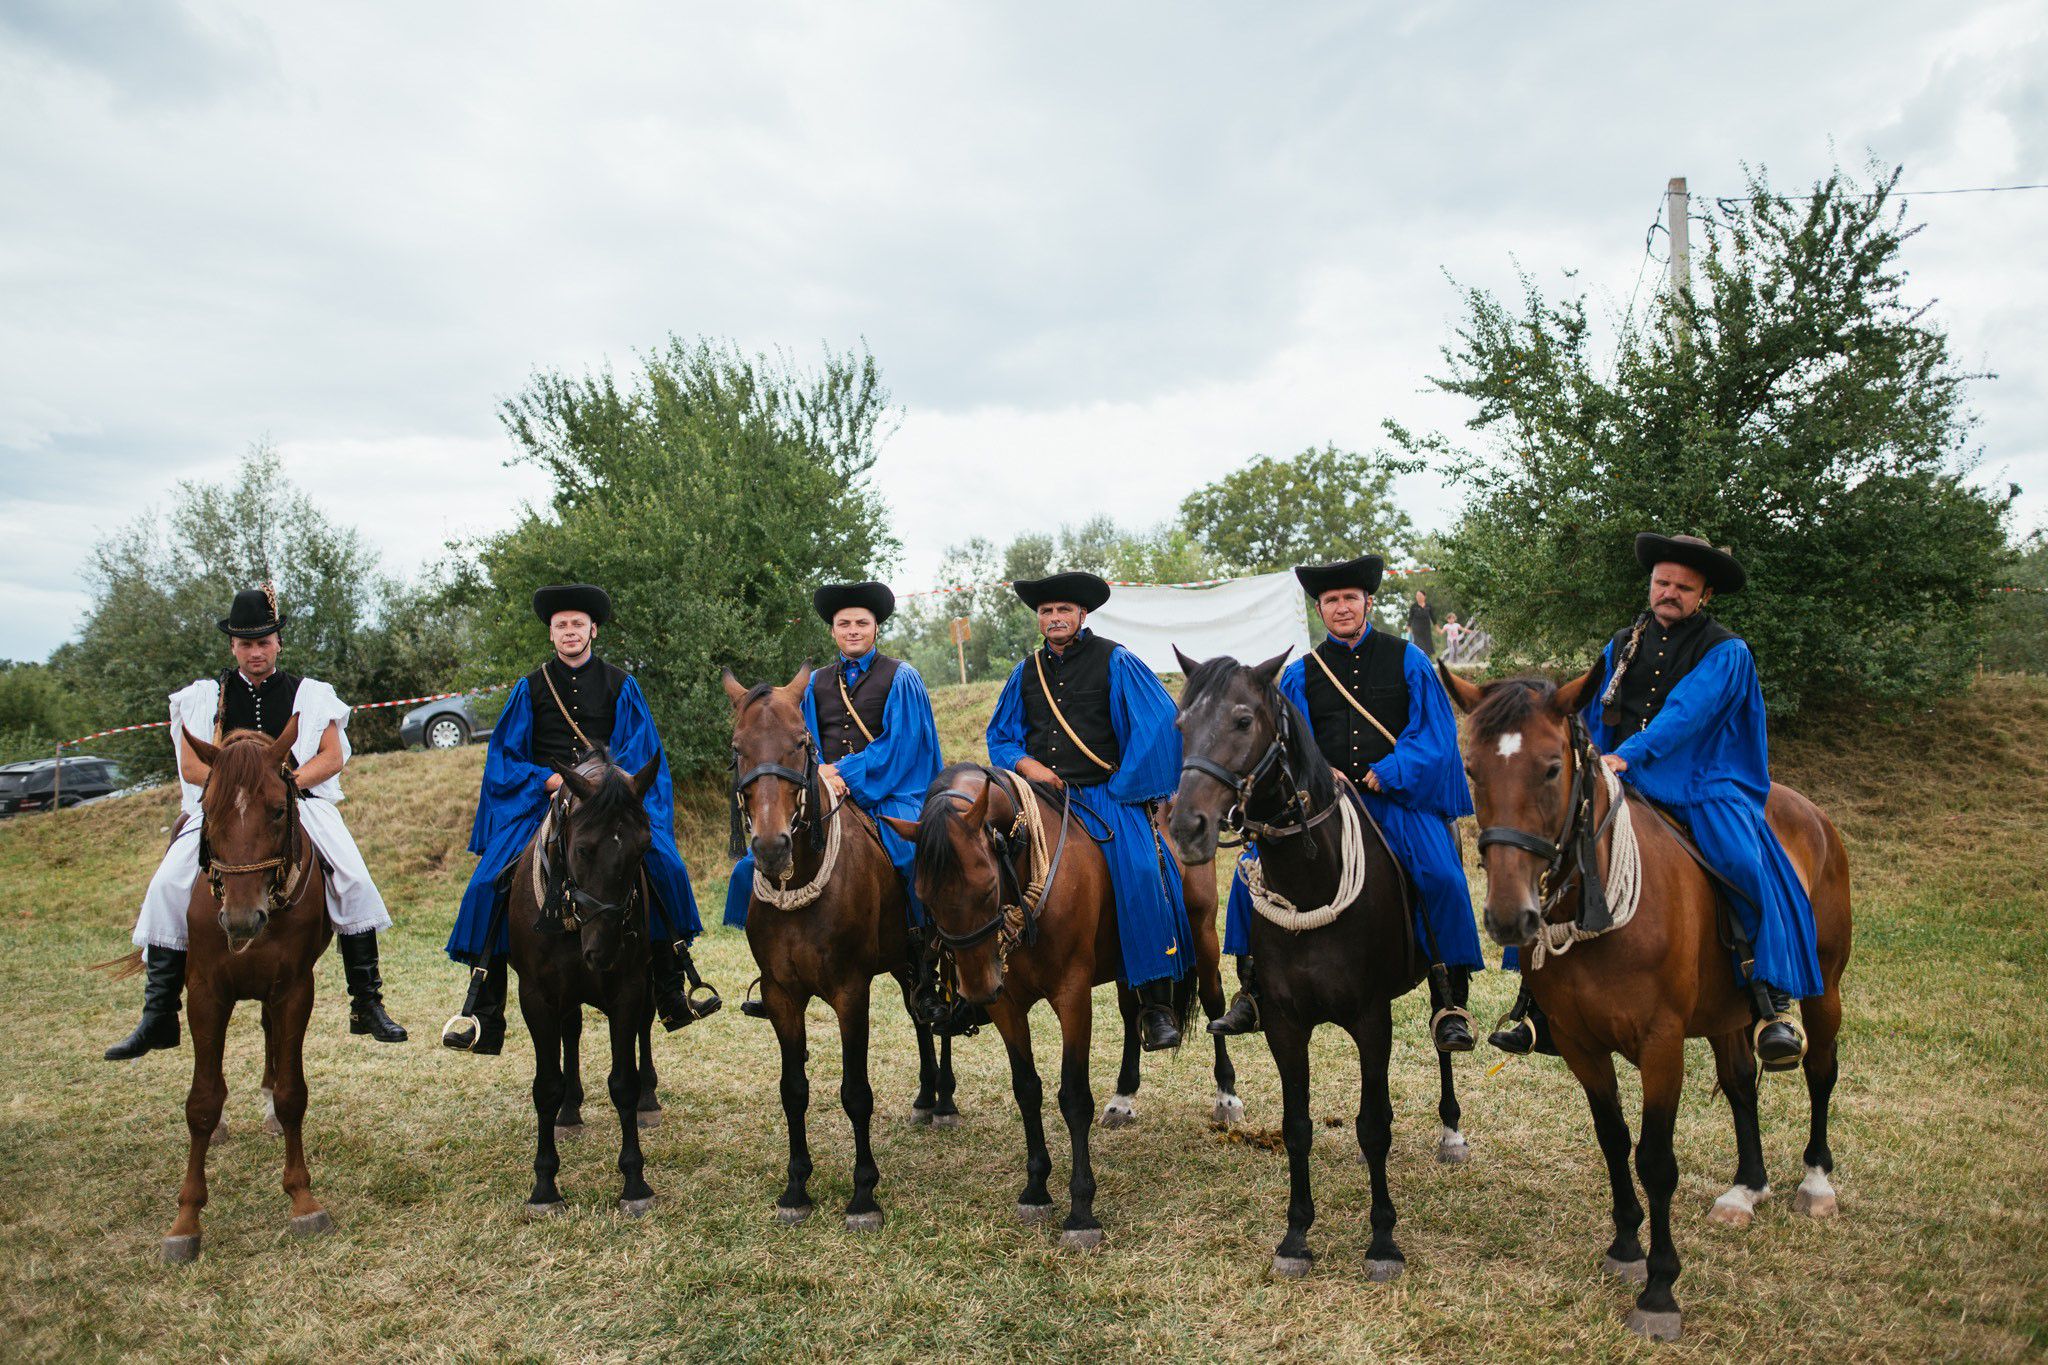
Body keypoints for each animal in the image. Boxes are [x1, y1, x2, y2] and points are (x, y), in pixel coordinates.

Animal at [161, 720, 333, 1268]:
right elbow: (202, 1101)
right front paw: (185, 1221)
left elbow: (293, 1093)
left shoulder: (294, 988)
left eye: (278, 809)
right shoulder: (206, 992)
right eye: (209, 809)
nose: (241, 920)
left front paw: (302, 1200)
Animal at [507, 749, 667, 1219]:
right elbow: (545, 1085)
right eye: (582, 848)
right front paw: (545, 1186)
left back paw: (648, 1100)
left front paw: (634, 1182)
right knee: (571, 1033)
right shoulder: (536, 996)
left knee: (643, 1029)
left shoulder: (628, 989)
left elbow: (623, 1083)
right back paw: (569, 1110)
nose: (602, 951)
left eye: (644, 848)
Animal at [724, 667, 962, 1236]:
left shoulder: (851, 993)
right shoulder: (782, 996)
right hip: (902, 964)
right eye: (738, 748)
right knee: (919, 1018)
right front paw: (796, 1188)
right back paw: (926, 1096)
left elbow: (856, 1092)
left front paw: (863, 1195)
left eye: (800, 743)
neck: (800, 886)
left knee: (939, 1017)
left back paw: (943, 1098)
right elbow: (793, 1089)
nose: (771, 848)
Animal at [1163, 650, 1466, 1285]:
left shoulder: (1372, 1019)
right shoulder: (1285, 1023)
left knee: (1444, 1033)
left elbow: (1374, 1126)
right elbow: (1296, 1127)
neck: (1311, 879)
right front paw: (1296, 1235)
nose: (1187, 827)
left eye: (1244, 720)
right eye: (1182, 726)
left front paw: (1382, 1241)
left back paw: (1452, 1128)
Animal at [1441, 667, 1859, 1342]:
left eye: (1551, 768)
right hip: (1725, 1016)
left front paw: (1660, 1289)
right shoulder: (1580, 1044)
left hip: (1825, 989)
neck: (1598, 911)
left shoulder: (1661, 1045)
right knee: (1740, 1085)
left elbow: (1656, 1159)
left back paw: (1816, 1182)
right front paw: (1625, 1248)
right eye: (1473, 770)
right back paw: (1746, 1189)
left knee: (1821, 1073)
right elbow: (1614, 1141)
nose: (1510, 916)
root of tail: (1809, 812)